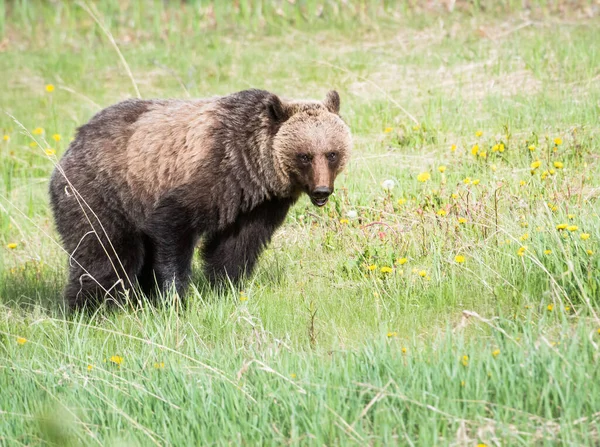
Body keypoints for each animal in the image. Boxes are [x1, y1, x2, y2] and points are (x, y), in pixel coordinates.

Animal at [51, 89, 354, 310]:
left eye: (331, 153)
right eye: (304, 155)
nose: (321, 191)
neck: (256, 170)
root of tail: (73, 143)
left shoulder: (258, 205)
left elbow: (237, 246)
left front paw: (225, 286)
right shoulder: (211, 175)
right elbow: (173, 225)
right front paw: (174, 296)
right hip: (105, 194)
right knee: (105, 253)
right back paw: (92, 306)